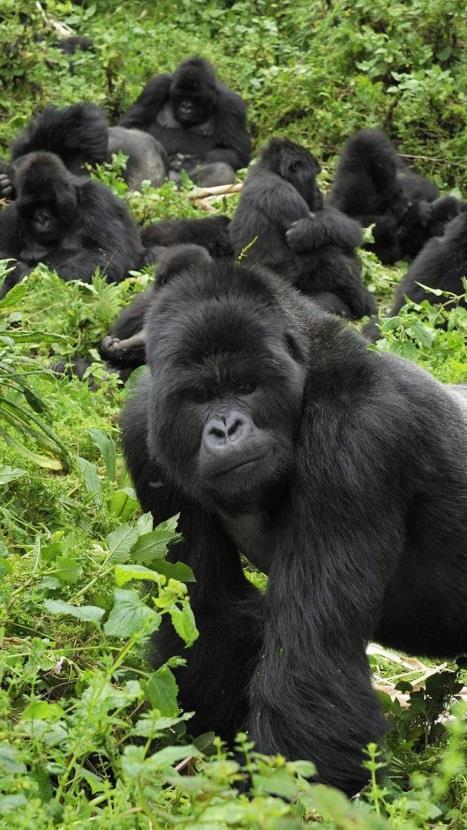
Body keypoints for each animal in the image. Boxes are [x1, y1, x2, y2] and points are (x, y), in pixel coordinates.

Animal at [0, 151, 142, 298]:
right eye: (33, 206)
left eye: (48, 203)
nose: (41, 218)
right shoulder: (10, 216)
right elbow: (5, 257)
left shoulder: (96, 198)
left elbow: (107, 254)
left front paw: (25, 274)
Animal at [120, 57, 252, 188]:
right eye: (181, 96)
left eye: (196, 98)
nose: (186, 107)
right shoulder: (156, 86)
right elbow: (131, 126)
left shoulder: (231, 104)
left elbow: (237, 154)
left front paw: (185, 162)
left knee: (222, 172)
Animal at [123, 256, 467, 796]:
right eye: (200, 396)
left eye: (246, 386)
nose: (226, 429)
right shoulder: (145, 431)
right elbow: (209, 617)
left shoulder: (356, 437)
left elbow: (310, 663)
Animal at [230, 136, 376, 318]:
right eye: (313, 177)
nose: (319, 192)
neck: (271, 171)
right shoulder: (283, 194)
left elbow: (343, 227)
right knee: (329, 255)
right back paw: (364, 304)